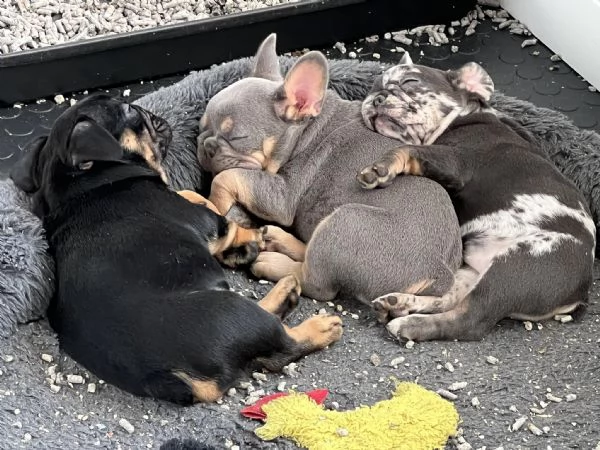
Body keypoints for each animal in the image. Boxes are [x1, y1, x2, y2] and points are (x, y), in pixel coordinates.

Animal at [10, 93, 342, 406]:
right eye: (129, 111)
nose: (154, 116)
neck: (81, 185)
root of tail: (175, 376)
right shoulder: (210, 224)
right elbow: (224, 221)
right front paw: (253, 236)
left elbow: (191, 194)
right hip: (235, 311)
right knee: (280, 345)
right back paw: (316, 321)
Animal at [199, 34, 462, 312]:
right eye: (201, 128)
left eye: (236, 138)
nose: (206, 145)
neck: (303, 131)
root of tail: (440, 273)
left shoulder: (282, 196)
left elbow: (227, 176)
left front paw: (216, 204)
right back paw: (279, 240)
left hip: (345, 222)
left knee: (315, 283)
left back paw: (274, 262)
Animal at [356, 53, 596, 342]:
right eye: (371, 89)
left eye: (410, 81)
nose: (376, 98)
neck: (463, 116)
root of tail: (579, 293)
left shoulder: (454, 161)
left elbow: (407, 148)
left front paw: (380, 168)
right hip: (471, 272)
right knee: (447, 299)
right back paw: (401, 303)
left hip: (516, 268)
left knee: (470, 319)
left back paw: (408, 325)